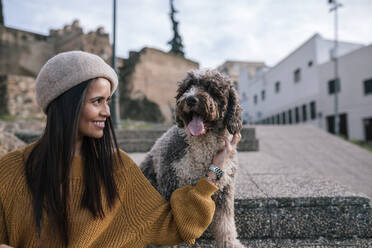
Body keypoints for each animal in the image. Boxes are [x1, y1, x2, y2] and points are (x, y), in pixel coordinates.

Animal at [141, 70, 246, 248]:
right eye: (187, 87)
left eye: (211, 88)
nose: (190, 99)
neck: (202, 142)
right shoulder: (170, 182)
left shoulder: (225, 187)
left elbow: (225, 221)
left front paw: (229, 243)